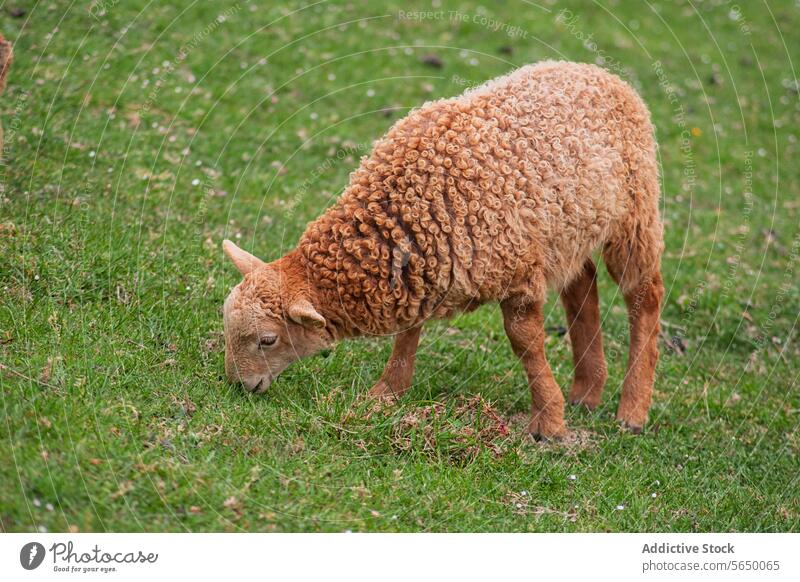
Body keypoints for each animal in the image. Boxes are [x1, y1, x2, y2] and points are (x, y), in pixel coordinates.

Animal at [222, 61, 664, 440]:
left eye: (268, 340)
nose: (240, 386)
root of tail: (599, 73)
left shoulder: (516, 272)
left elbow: (526, 344)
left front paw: (549, 424)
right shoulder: (425, 267)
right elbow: (408, 333)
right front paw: (386, 393)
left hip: (635, 215)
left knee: (644, 296)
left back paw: (632, 410)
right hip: (570, 228)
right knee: (582, 283)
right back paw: (586, 392)